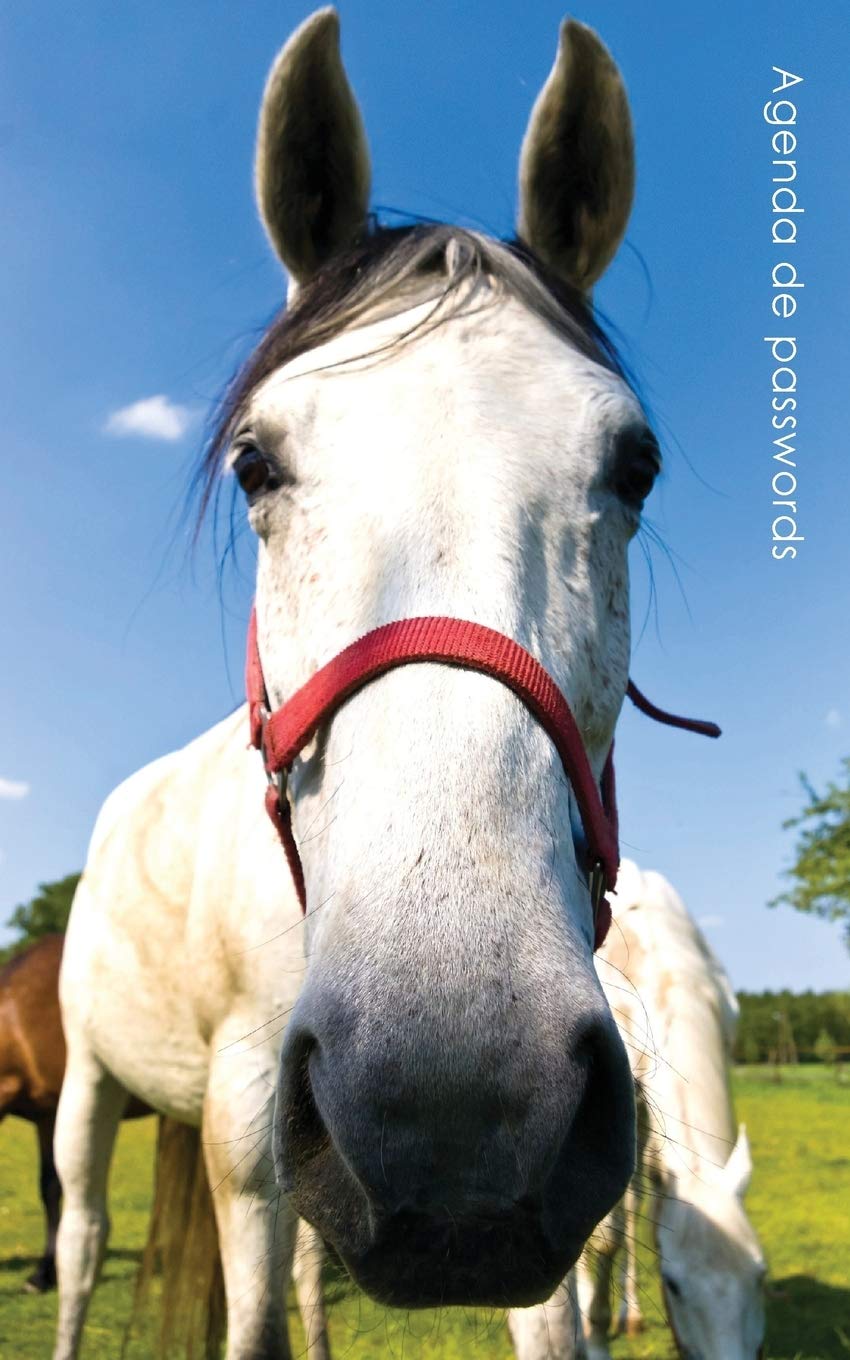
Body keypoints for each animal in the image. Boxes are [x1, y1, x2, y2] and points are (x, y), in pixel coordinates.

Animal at [55, 10, 665, 1356]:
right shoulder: (243, 1129)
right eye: (254, 462)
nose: (451, 1110)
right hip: (88, 1083)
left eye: (635, 465)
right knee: (78, 1242)